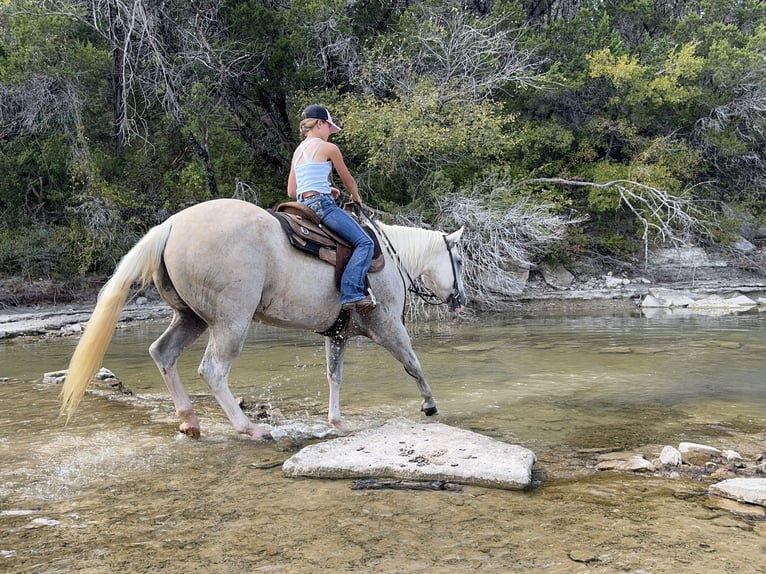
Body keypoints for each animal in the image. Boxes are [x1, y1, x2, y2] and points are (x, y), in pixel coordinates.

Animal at [60, 198, 466, 439]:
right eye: (460, 260)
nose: (460, 300)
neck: (389, 258)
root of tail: (170, 226)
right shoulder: (388, 326)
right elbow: (413, 363)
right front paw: (430, 405)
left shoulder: (337, 335)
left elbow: (334, 376)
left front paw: (337, 422)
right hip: (231, 322)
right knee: (213, 370)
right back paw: (250, 428)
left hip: (191, 318)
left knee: (163, 353)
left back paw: (190, 420)